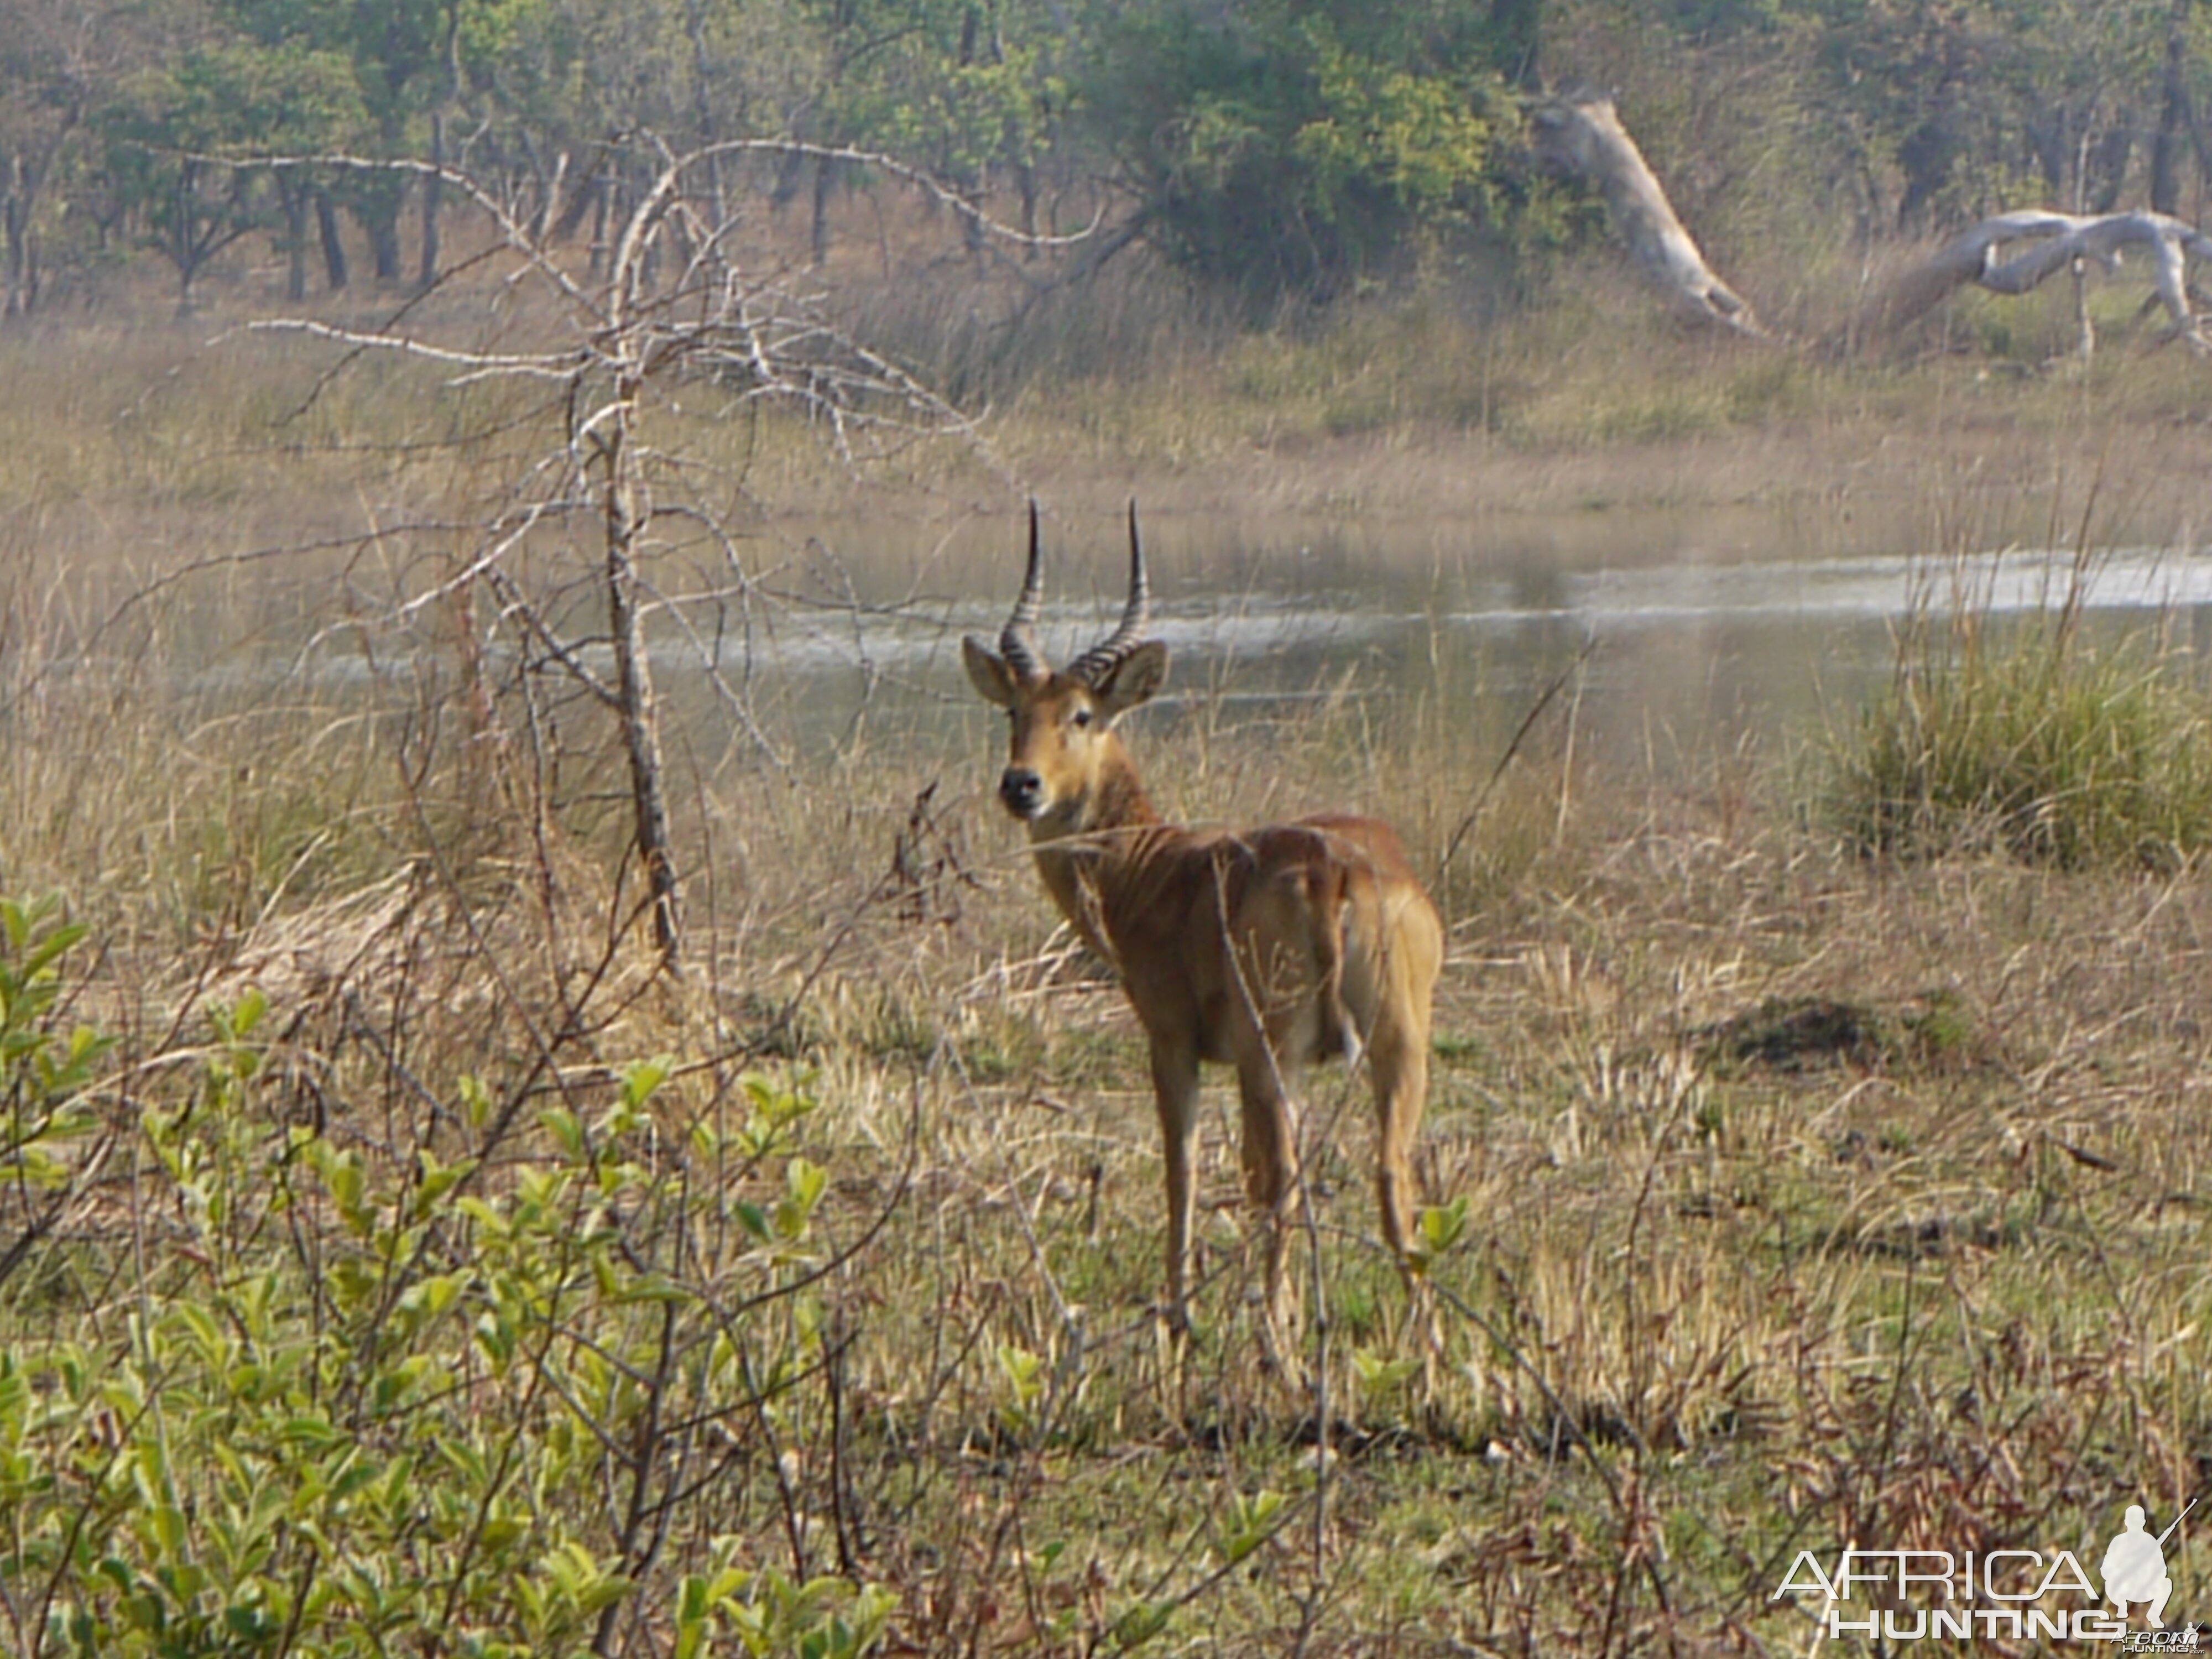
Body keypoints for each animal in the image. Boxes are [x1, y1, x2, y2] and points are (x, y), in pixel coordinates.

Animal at [960, 504, 1442, 1336]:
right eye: (1016, 711)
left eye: (1082, 714)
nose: (1021, 785)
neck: (1156, 865)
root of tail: (1333, 868)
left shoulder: (1172, 1040)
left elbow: (1180, 1168)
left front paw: (1178, 1314)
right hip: (1394, 1044)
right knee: (1387, 1173)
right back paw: (1424, 1337)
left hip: (1276, 1054)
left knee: (1282, 1176)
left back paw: (1276, 1327)